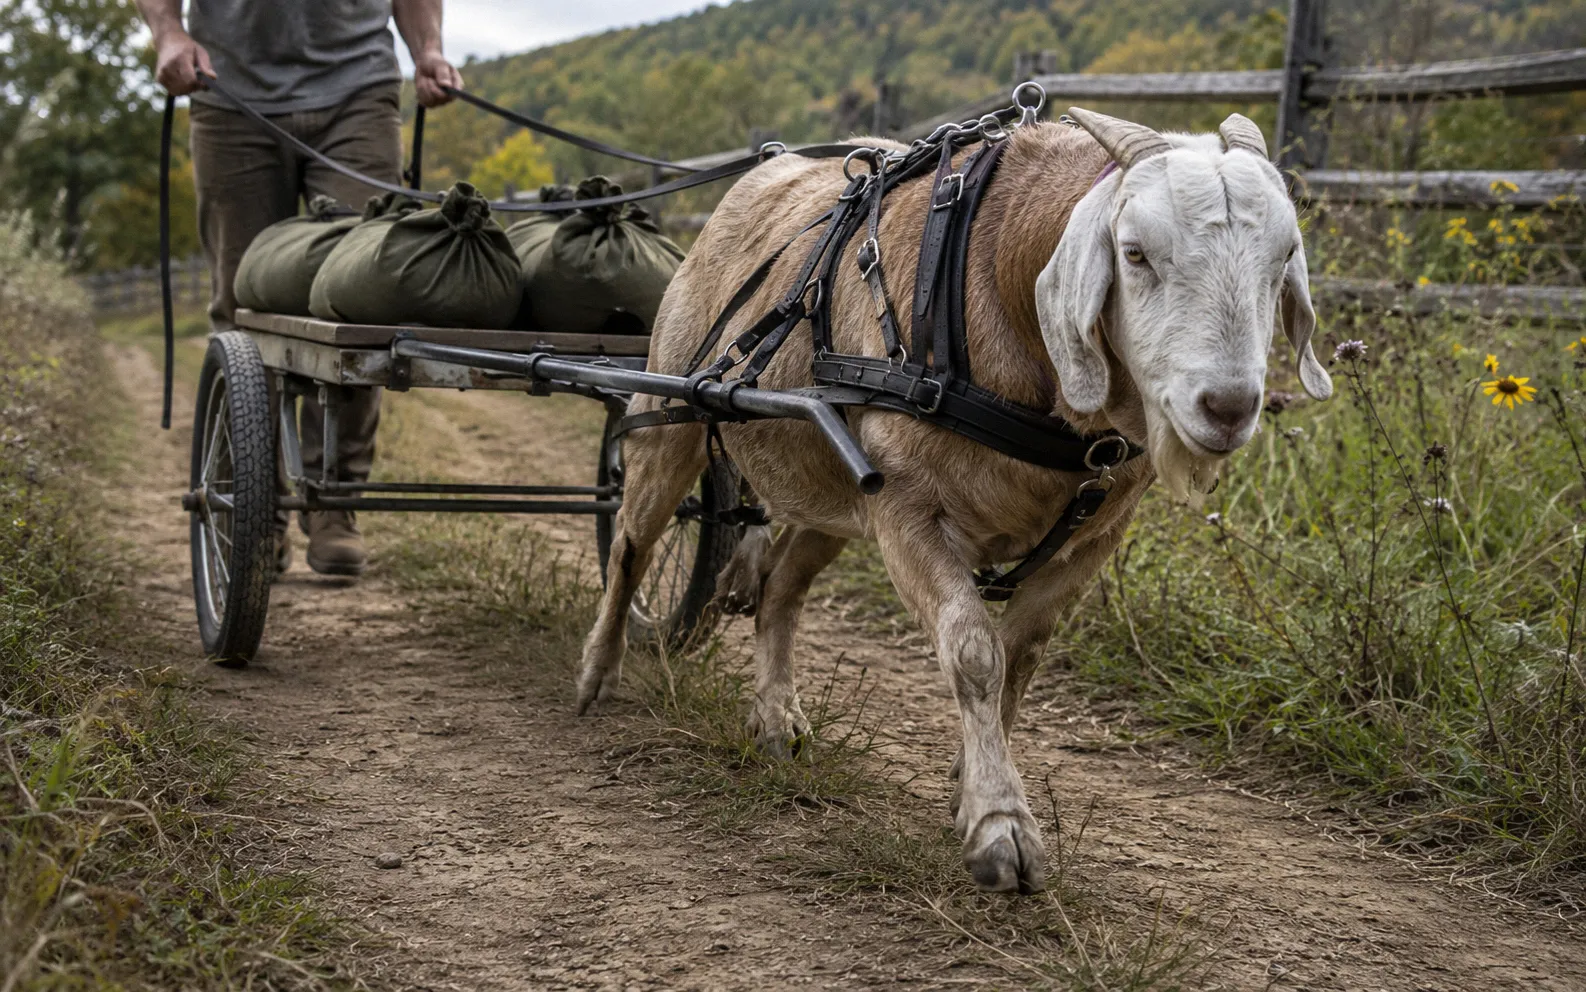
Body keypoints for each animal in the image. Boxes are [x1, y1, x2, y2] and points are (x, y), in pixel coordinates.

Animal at [576, 109, 1332, 895]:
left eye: (1283, 257)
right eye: (1136, 253)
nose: (1228, 406)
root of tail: (765, 170)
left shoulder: (1090, 540)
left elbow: (1019, 659)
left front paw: (970, 783)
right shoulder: (909, 510)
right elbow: (974, 652)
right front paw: (1002, 826)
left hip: (835, 481)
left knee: (781, 586)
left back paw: (777, 717)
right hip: (672, 414)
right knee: (632, 543)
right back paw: (599, 672)